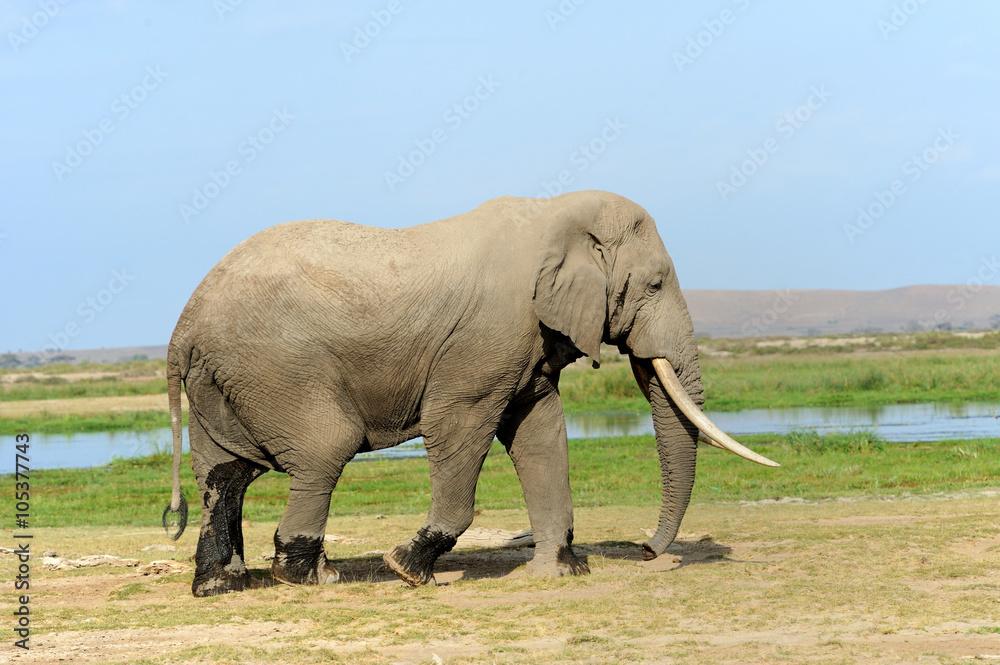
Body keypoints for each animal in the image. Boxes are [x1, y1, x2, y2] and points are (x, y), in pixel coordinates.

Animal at [162, 190, 776, 596]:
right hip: (277, 367)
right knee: (323, 449)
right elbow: (461, 426)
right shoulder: (487, 337)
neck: (553, 212)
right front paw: (408, 568)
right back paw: (308, 577)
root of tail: (183, 324)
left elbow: (540, 432)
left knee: (226, 471)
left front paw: (560, 572)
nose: (647, 549)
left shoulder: (529, 340)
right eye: (654, 284)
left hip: (224, 380)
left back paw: (220, 585)